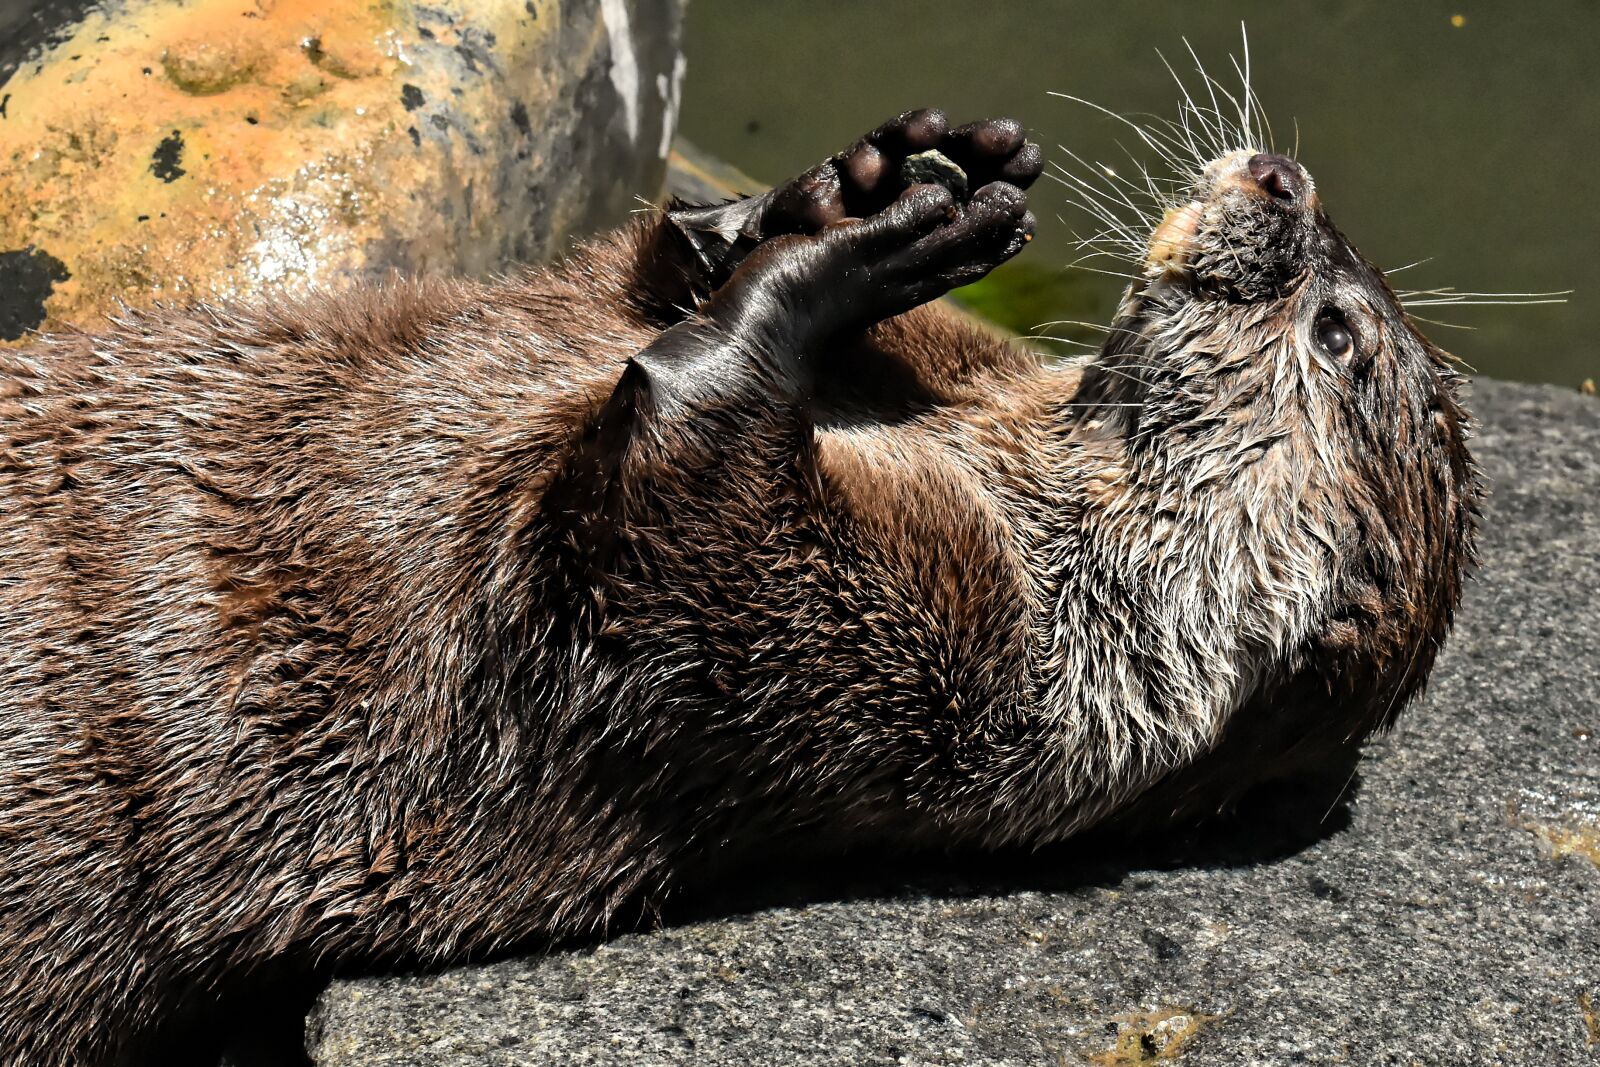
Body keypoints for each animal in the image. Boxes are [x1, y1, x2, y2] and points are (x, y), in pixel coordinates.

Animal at [0, 107, 1478, 1064]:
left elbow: (642, 540)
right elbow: (615, 290)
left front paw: (832, 266)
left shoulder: (906, 666)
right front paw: (845, 188)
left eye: (1334, 331)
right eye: (1341, 287)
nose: (1283, 173)